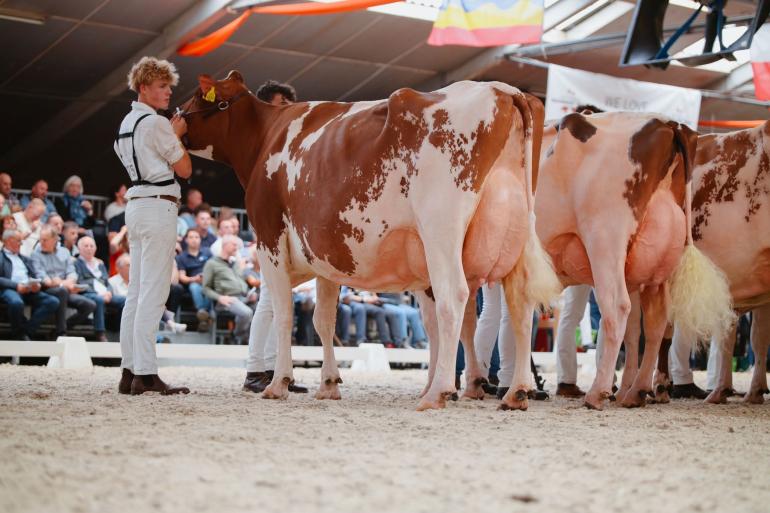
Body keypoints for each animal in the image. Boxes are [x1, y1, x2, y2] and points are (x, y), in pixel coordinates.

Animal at [179, 71, 561, 411]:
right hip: (516, 234)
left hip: (441, 230)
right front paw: (329, 384)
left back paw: (437, 392)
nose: (175, 116)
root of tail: (502, 89)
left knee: (454, 299)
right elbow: (323, 320)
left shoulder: (269, 239)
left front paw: (279, 384)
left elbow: (284, 315)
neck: (266, 137)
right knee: (520, 303)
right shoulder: (326, 259)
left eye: (198, 97)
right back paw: (516, 392)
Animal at [535, 111, 734, 410]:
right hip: (654, 267)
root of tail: (667, 124)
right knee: (654, 322)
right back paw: (635, 391)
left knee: (617, 309)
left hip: (605, 242)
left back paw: (598, 393)